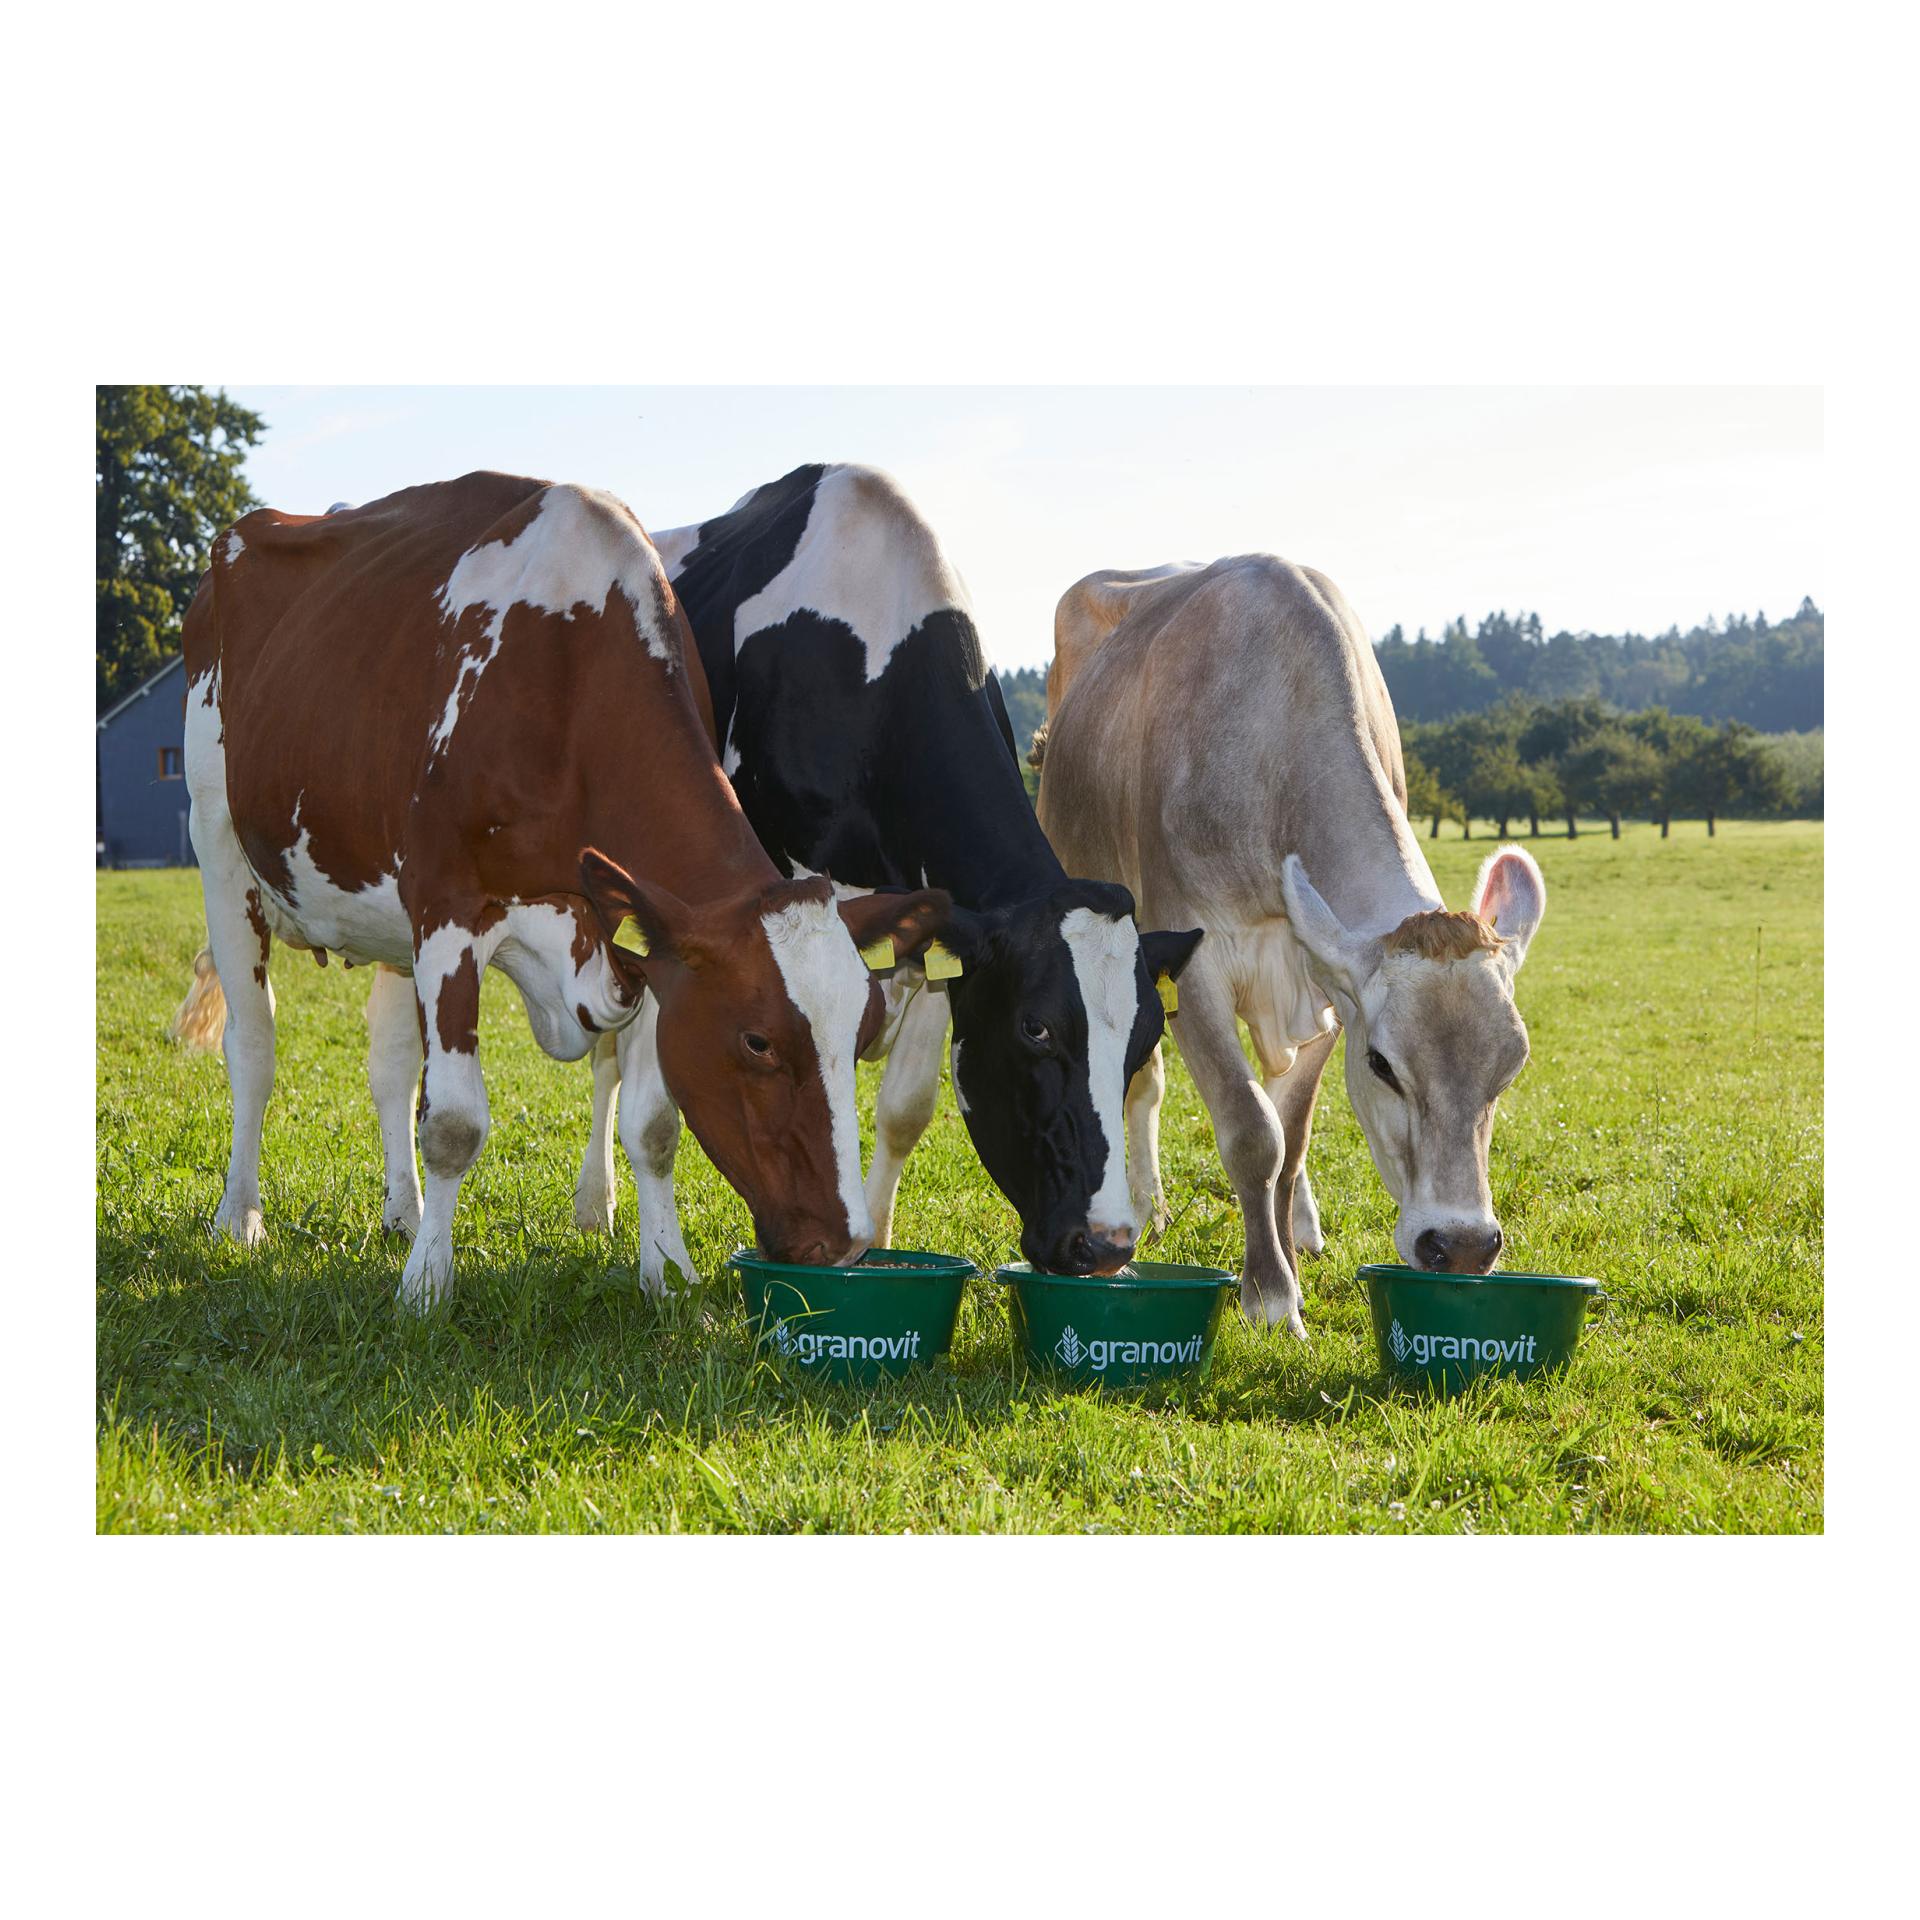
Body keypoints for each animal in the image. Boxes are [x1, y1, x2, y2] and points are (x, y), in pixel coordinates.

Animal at [171, 471, 952, 1309]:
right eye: (757, 1040)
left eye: (864, 1034)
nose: (844, 1244)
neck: (568, 685)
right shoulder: (447, 906)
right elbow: (453, 1122)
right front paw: (427, 1287)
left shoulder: (650, 942)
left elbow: (653, 1126)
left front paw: (666, 1271)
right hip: (220, 845)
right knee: (254, 1044)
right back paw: (240, 1215)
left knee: (388, 1064)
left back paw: (404, 1214)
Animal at [565, 463, 1203, 1280]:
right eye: (1035, 1029)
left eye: (1147, 1038)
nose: (1106, 1245)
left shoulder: (935, 928)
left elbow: (904, 1108)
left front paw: (882, 1238)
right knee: (607, 1060)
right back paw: (594, 1204)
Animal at [1034, 555, 1547, 1335]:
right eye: (1383, 1064)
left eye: (1510, 1067)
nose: (1461, 1245)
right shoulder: (1195, 970)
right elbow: (1253, 1132)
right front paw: (1272, 1298)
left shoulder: (1326, 988)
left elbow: (1292, 1131)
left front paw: (1288, 1266)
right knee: (1142, 1082)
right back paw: (1149, 1207)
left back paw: (1301, 1226)